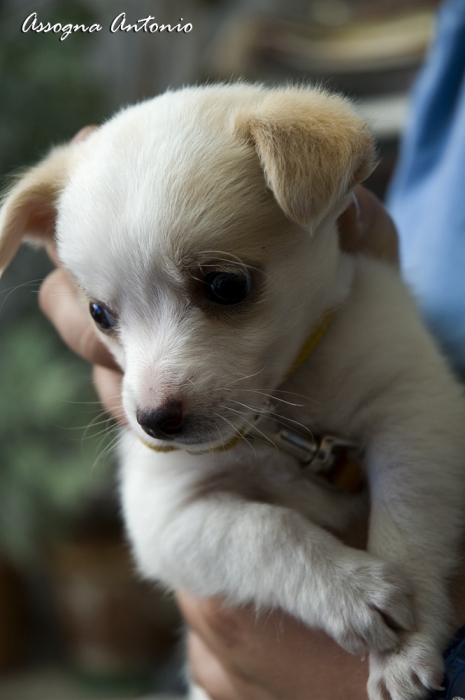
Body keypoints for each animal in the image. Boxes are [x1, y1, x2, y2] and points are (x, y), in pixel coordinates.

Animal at [0, 83, 464, 700]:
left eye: (225, 285)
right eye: (99, 314)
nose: (153, 421)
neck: (283, 414)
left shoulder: (416, 416)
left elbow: (410, 523)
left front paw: (407, 646)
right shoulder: (167, 518)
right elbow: (264, 530)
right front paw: (351, 591)